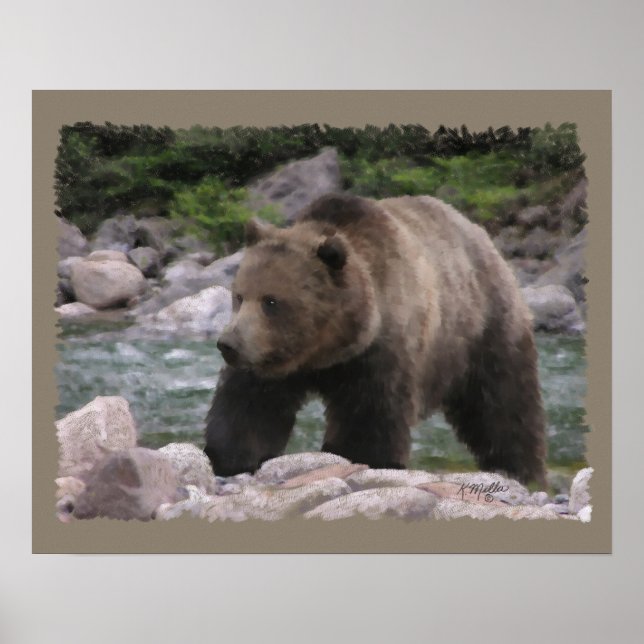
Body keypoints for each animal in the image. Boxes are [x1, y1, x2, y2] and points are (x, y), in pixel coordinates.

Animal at [204, 193, 547, 486]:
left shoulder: (380, 353)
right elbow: (249, 406)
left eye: (271, 301)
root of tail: (483, 237)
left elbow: (369, 415)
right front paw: (229, 458)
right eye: (239, 296)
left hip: (484, 329)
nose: (228, 344)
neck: (327, 350)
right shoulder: (270, 362)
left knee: (503, 406)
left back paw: (521, 470)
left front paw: (362, 457)